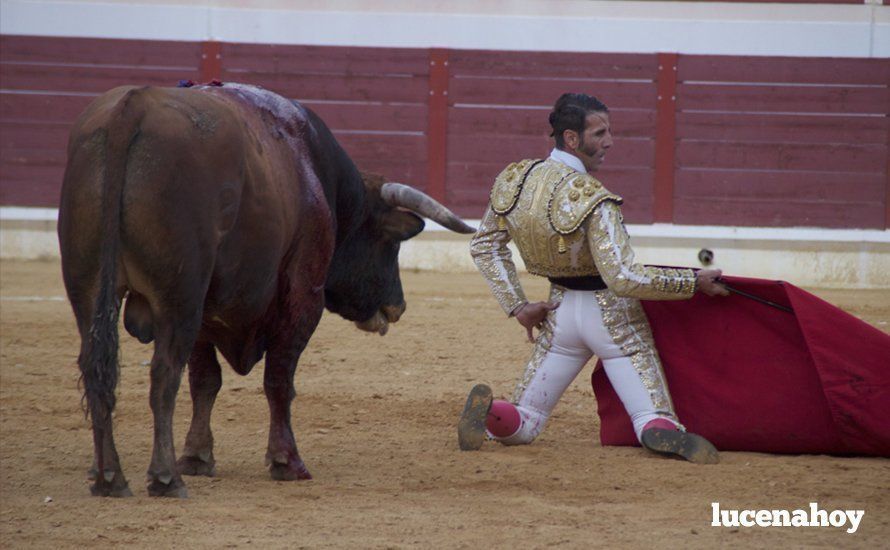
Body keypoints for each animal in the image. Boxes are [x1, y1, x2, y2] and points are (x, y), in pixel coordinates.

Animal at [59, 83, 476, 500]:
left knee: (96, 369)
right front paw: (286, 461)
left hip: (90, 290)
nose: (397, 306)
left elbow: (205, 381)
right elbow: (278, 379)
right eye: (391, 243)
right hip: (179, 297)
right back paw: (164, 477)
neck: (316, 174)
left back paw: (109, 477)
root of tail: (133, 108)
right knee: (163, 373)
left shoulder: (205, 312)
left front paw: (197, 457)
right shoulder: (302, 296)